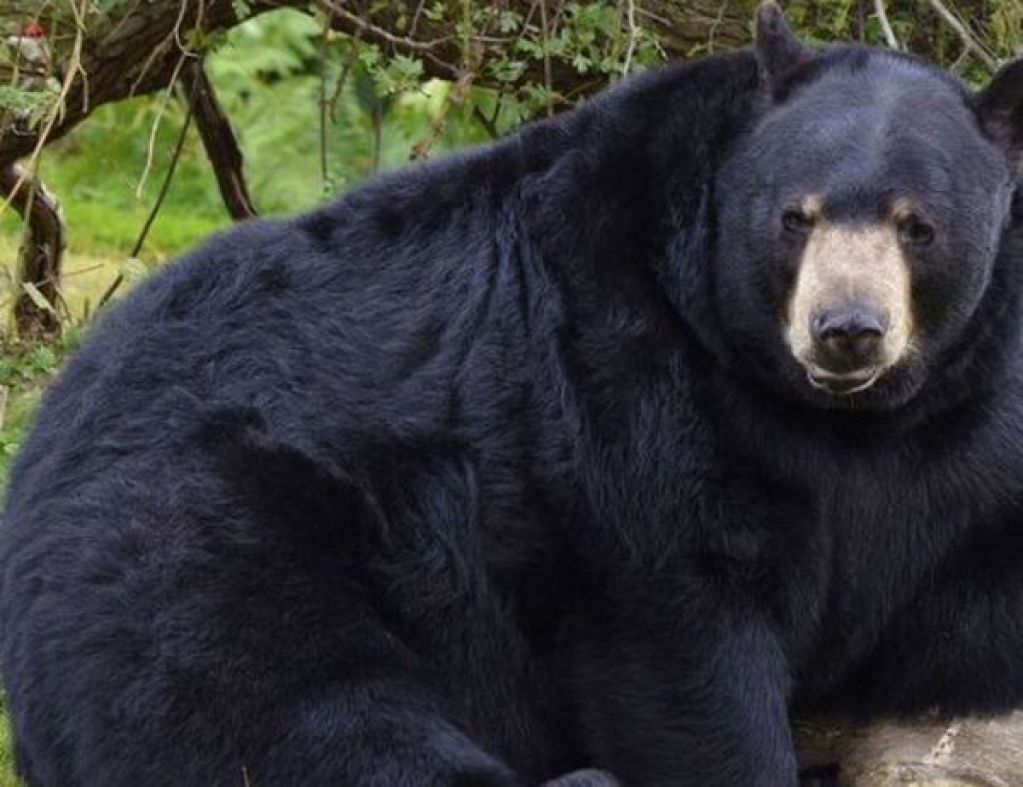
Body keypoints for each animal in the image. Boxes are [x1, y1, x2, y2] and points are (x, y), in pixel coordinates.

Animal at [4, 2, 1023, 784]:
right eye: (793, 217)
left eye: (917, 225)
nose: (846, 328)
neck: (836, 418)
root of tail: (51, 422)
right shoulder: (616, 383)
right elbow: (681, 644)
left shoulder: (963, 429)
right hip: (195, 518)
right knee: (266, 693)